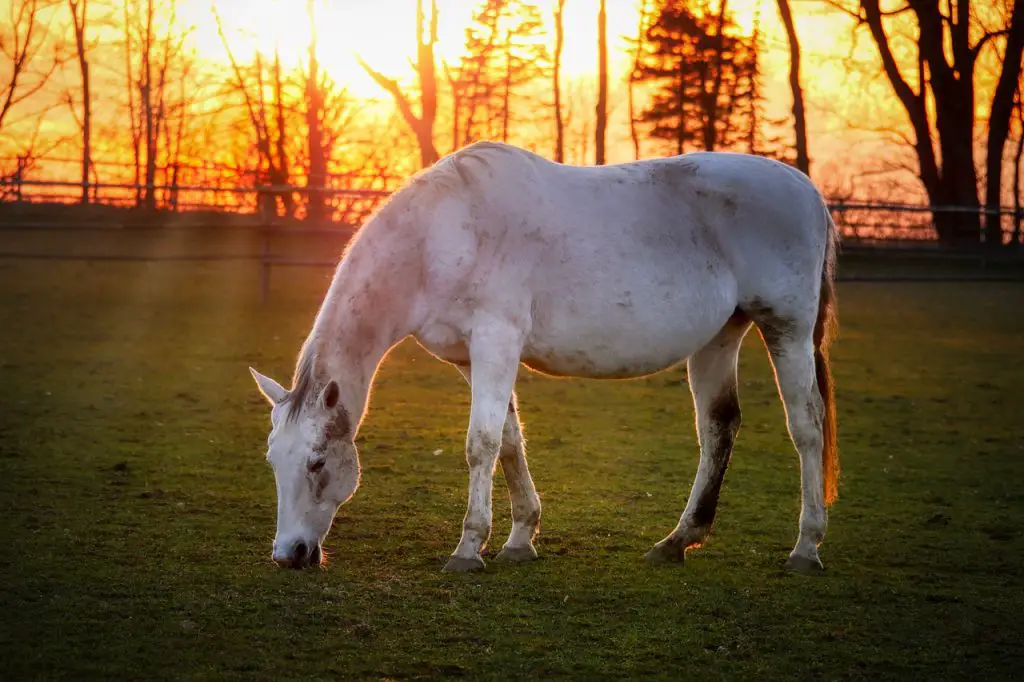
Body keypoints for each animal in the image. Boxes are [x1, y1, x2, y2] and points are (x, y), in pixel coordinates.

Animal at [249, 140, 839, 569]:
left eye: (317, 462)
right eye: (274, 461)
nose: (288, 555)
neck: (441, 235)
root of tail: (806, 190)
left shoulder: (496, 342)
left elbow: (481, 445)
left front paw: (468, 550)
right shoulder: (471, 359)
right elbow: (509, 442)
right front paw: (519, 540)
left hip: (785, 329)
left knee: (806, 427)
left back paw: (806, 548)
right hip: (720, 337)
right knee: (718, 427)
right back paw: (677, 541)